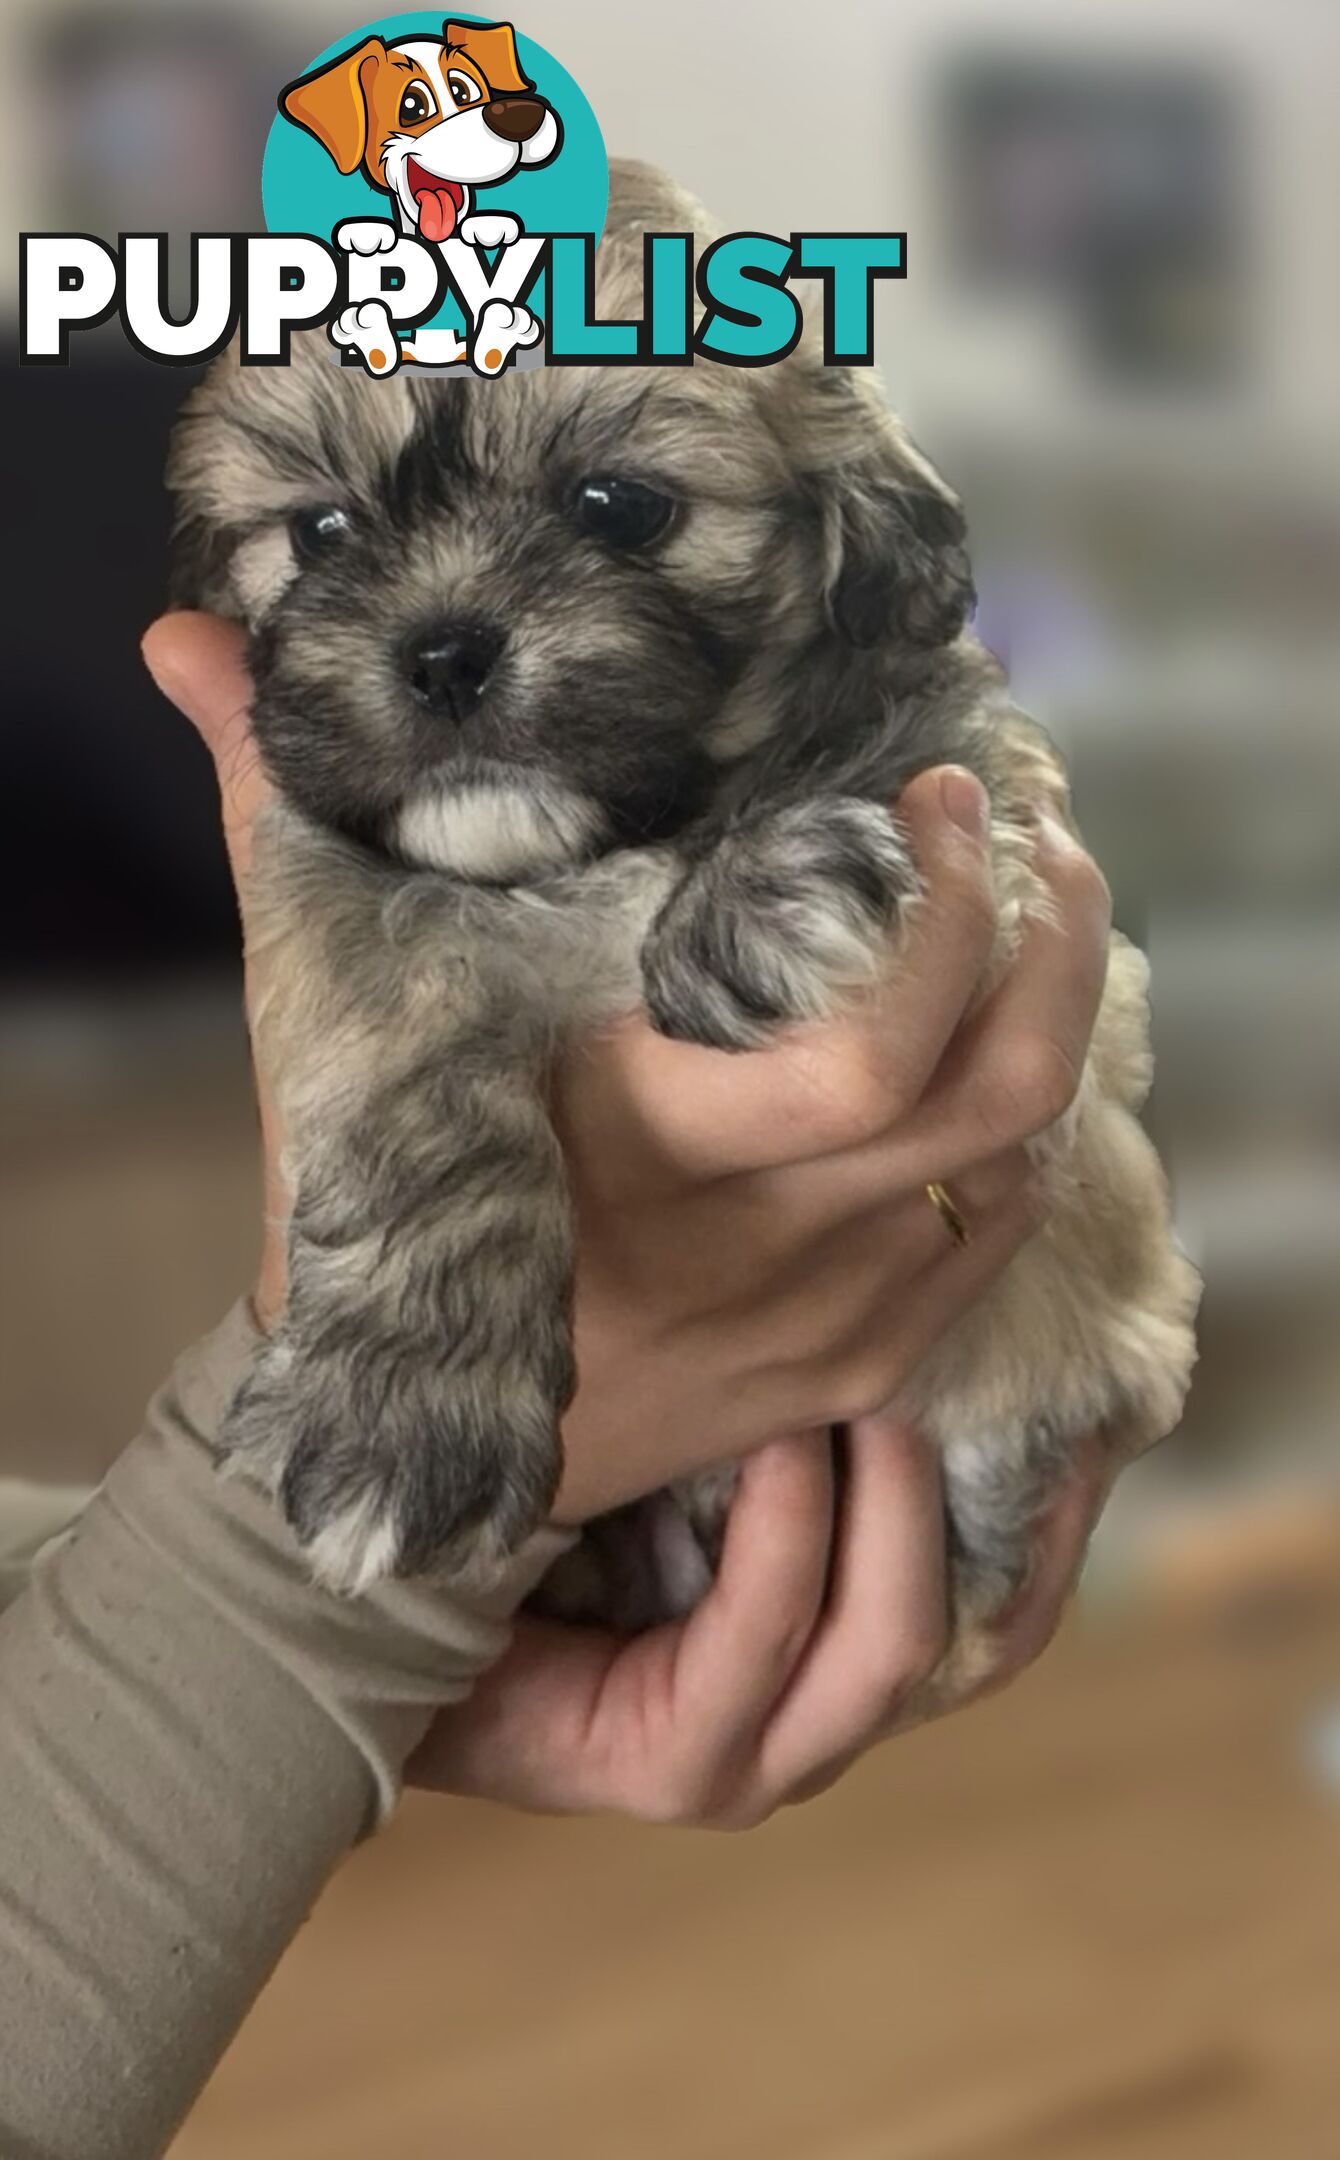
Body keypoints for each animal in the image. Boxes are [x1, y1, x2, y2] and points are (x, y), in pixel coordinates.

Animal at [167, 159, 1201, 1650]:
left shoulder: (999, 813)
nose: (442, 650)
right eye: (320, 530)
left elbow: (913, 770)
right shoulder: (341, 894)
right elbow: (411, 1075)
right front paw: (403, 1405)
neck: (604, 848)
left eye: (618, 506)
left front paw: (762, 891)